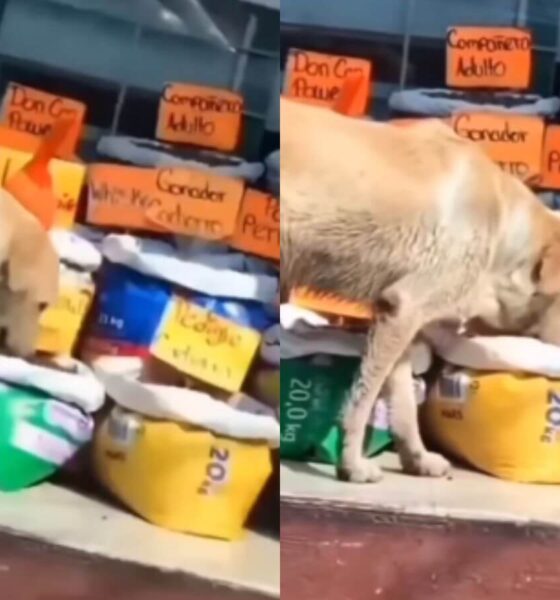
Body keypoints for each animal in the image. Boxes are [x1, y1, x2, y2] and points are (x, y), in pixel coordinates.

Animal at [284, 97, 560, 482]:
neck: (506, 233)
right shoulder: (405, 308)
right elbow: (364, 397)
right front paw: (352, 465)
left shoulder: (399, 319)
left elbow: (402, 404)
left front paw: (417, 459)